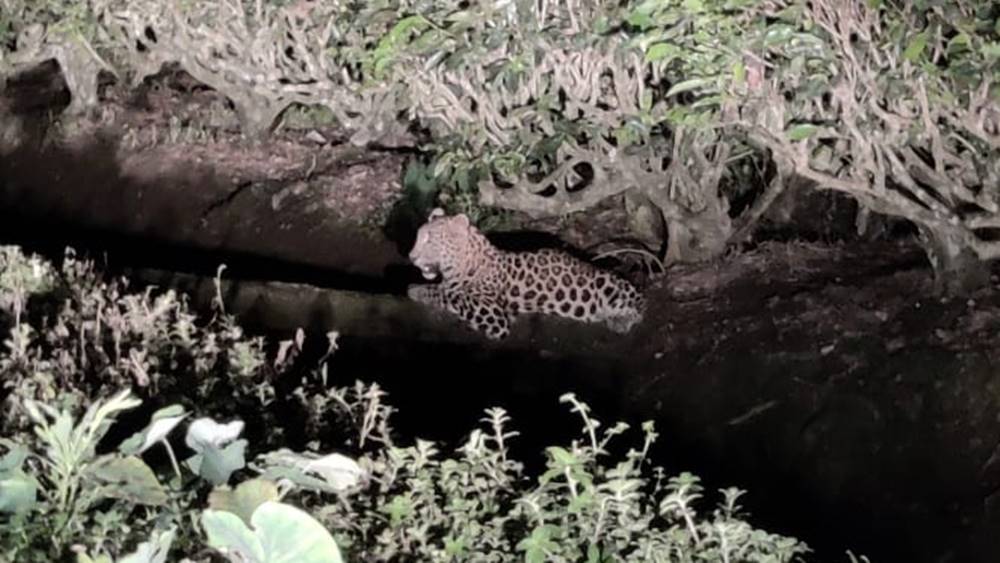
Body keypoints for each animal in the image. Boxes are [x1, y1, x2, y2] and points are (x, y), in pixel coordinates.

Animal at [406, 208, 645, 340]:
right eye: (418, 237)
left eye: (430, 241)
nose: (411, 257)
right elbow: (448, 292)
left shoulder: (494, 315)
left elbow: (451, 295)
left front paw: (416, 290)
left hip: (609, 284)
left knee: (639, 308)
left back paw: (618, 320)